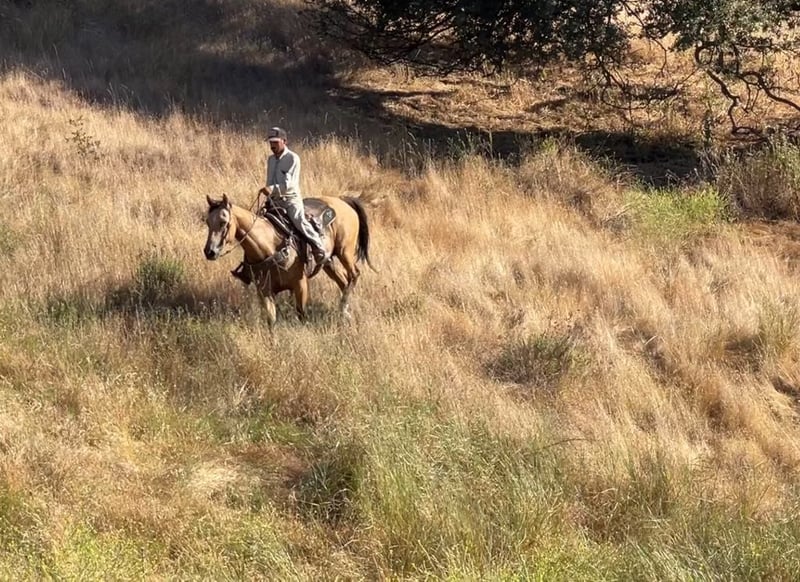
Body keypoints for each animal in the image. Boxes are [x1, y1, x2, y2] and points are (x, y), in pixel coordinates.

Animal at [203, 192, 373, 328]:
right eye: (207, 222)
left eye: (223, 222)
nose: (209, 252)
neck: (269, 248)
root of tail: (342, 200)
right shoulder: (264, 291)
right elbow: (271, 321)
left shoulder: (300, 284)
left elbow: (301, 314)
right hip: (328, 262)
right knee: (343, 281)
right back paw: (344, 313)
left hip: (345, 252)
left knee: (354, 274)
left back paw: (343, 309)